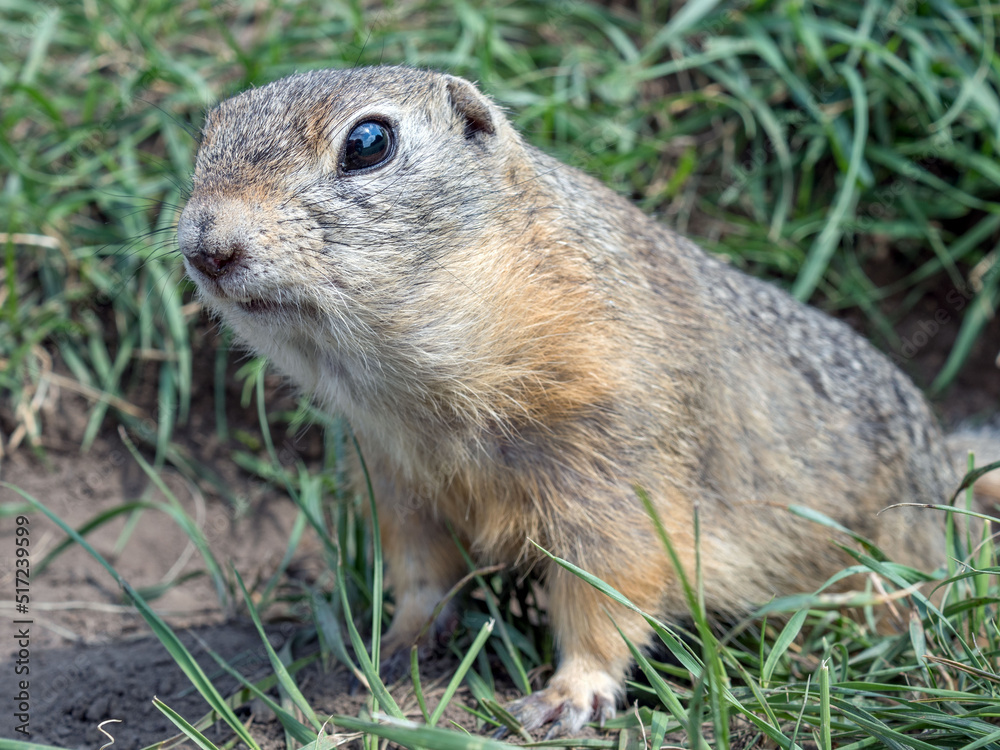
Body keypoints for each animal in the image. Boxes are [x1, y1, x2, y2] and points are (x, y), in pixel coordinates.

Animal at [178, 67, 960, 736]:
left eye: (368, 143)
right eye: (209, 129)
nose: (206, 246)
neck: (420, 384)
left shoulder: (614, 467)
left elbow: (607, 590)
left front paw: (566, 697)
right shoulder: (394, 475)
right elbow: (421, 569)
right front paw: (394, 643)